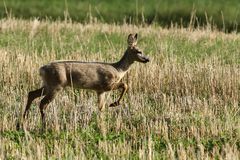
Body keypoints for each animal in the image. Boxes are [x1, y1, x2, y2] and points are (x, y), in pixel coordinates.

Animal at [19, 33, 149, 129]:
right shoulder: (107, 84)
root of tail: (42, 69)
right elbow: (125, 85)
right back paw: (44, 125)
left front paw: (101, 123)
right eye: (139, 51)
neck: (118, 70)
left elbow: (101, 108)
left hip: (48, 84)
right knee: (42, 103)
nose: (147, 59)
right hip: (56, 85)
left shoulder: (100, 90)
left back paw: (22, 121)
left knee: (31, 94)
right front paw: (114, 103)